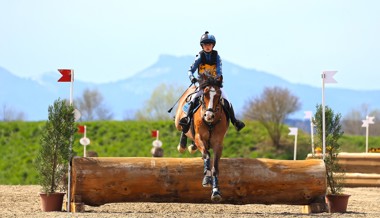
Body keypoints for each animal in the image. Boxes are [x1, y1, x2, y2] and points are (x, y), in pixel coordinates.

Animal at [174, 74, 229, 202]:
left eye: (218, 94)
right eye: (205, 94)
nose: (209, 115)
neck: (210, 123)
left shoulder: (218, 144)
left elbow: (215, 167)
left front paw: (216, 191)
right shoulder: (200, 138)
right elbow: (207, 155)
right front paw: (207, 180)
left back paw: (192, 147)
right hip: (177, 122)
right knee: (183, 127)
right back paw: (182, 146)